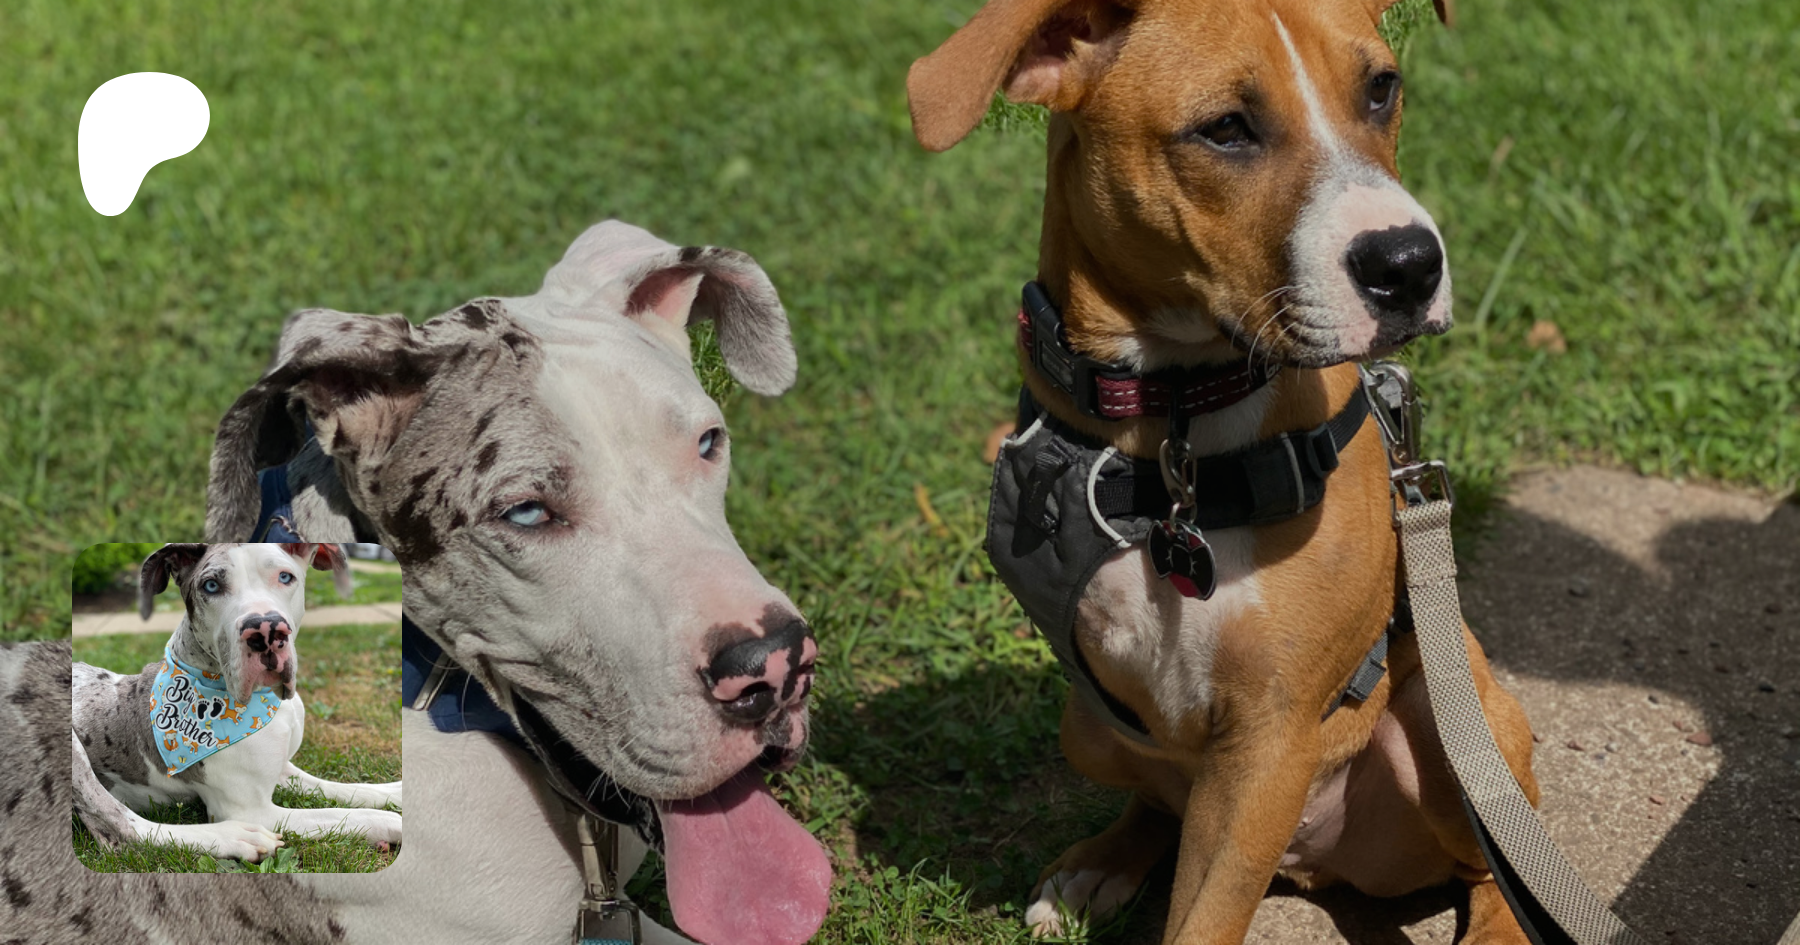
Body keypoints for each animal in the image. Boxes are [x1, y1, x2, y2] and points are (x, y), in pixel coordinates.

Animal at [71, 542, 402, 862]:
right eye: (211, 585)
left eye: (285, 577)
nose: (267, 630)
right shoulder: (255, 810)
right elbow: (343, 815)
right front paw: (392, 822)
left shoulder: (283, 769)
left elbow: (343, 789)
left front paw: (394, 791)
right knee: (120, 829)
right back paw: (237, 837)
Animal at [909, 1, 1542, 943]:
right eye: (1226, 129)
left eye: (1381, 88)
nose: (1410, 264)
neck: (1175, 426)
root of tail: (1311, 860)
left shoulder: (1266, 739)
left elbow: (1202, 918)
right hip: (1085, 724)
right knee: (1160, 801)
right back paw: (1097, 864)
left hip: (1449, 717)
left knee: (1500, 855)